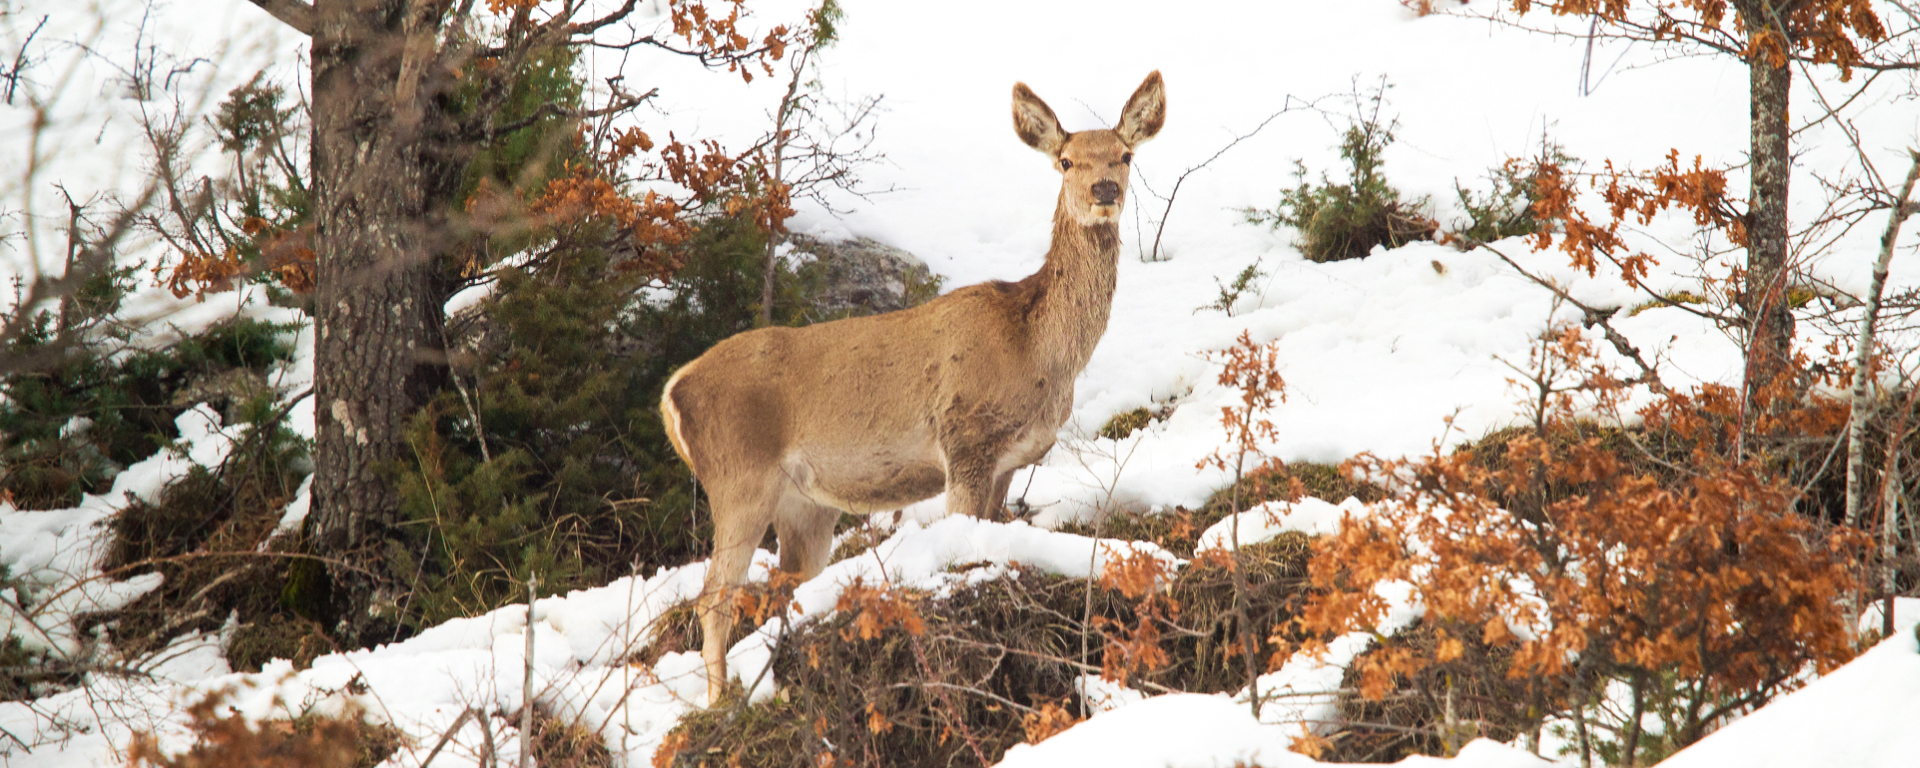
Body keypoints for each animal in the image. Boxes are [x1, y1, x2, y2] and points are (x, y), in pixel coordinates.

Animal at [660, 69, 1167, 706]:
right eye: (1066, 160)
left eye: (1125, 155)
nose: (1103, 190)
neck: (1036, 352)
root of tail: (673, 394)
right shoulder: (964, 437)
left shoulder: (1009, 460)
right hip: (738, 475)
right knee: (714, 597)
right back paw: (721, 703)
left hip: (804, 504)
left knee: (784, 588)